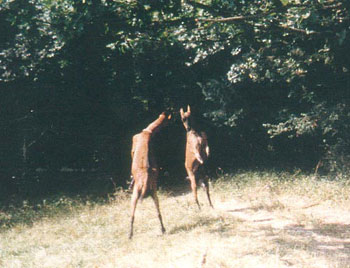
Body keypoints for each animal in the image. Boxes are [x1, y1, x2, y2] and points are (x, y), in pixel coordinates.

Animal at [129, 111, 172, 239]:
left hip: (136, 194)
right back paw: (163, 229)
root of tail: (144, 185)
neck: (148, 132)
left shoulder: (133, 147)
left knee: (132, 215)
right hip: (154, 192)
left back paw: (130, 235)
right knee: (158, 212)